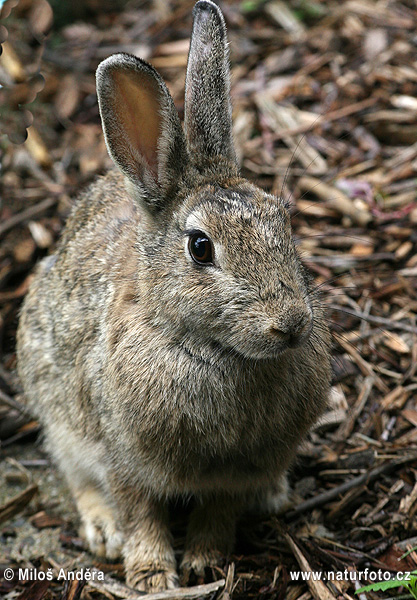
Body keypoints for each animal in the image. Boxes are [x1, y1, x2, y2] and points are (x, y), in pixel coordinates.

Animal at [17, 0, 332, 592]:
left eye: (283, 221)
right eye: (200, 247)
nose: (291, 324)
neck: (214, 352)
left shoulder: (239, 472)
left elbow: (219, 512)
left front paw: (206, 562)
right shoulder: (122, 456)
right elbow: (138, 510)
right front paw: (151, 576)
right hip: (57, 409)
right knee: (76, 475)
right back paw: (103, 533)